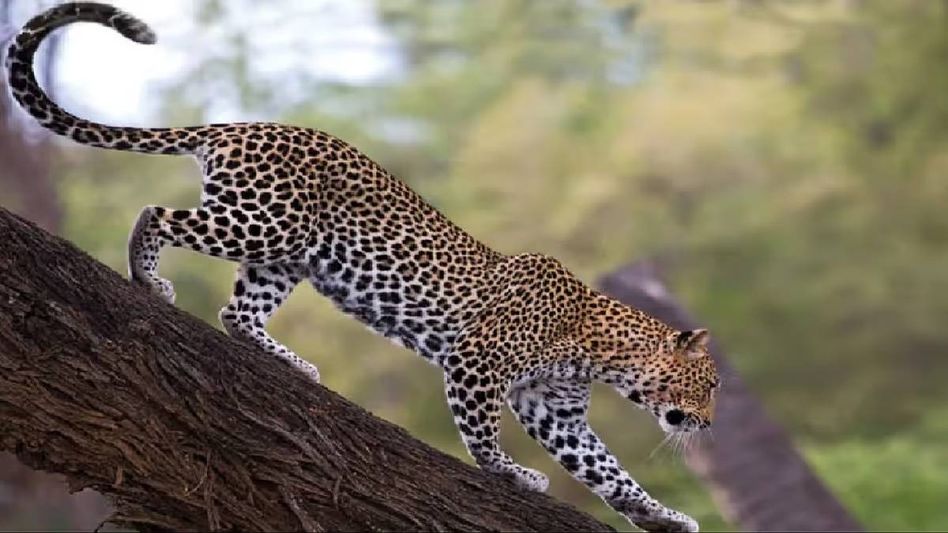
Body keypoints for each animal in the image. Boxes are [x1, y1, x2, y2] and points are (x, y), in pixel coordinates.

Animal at [5, 3, 720, 531]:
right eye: (709, 385)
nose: (709, 425)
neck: (600, 351)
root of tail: (241, 125)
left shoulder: (557, 412)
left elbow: (609, 472)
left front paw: (662, 517)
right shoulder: (476, 365)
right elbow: (485, 436)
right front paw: (511, 474)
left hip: (286, 257)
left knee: (237, 311)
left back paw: (292, 364)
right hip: (264, 223)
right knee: (155, 214)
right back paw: (148, 278)